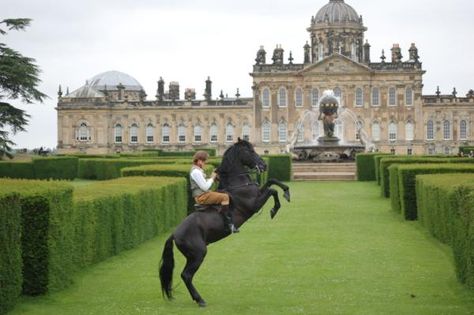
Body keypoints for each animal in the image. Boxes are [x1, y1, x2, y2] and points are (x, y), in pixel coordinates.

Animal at [159, 139, 288, 308]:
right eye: (250, 151)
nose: (264, 165)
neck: (237, 183)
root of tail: (174, 233)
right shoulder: (254, 204)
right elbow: (273, 190)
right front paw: (275, 208)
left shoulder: (258, 194)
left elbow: (272, 182)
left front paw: (286, 192)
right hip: (198, 254)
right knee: (186, 275)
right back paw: (200, 300)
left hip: (192, 256)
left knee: (186, 275)